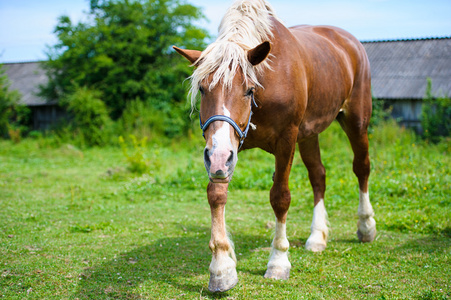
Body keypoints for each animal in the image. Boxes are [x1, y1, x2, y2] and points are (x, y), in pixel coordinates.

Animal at [175, 0, 376, 292]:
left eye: (248, 90)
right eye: (202, 88)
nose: (219, 157)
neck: (266, 81)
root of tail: (350, 41)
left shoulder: (285, 139)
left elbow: (280, 197)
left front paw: (278, 261)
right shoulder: (224, 151)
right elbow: (216, 194)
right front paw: (222, 267)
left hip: (356, 120)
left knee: (361, 168)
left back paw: (366, 226)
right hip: (309, 134)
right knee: (318, 175)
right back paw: (317, 236)